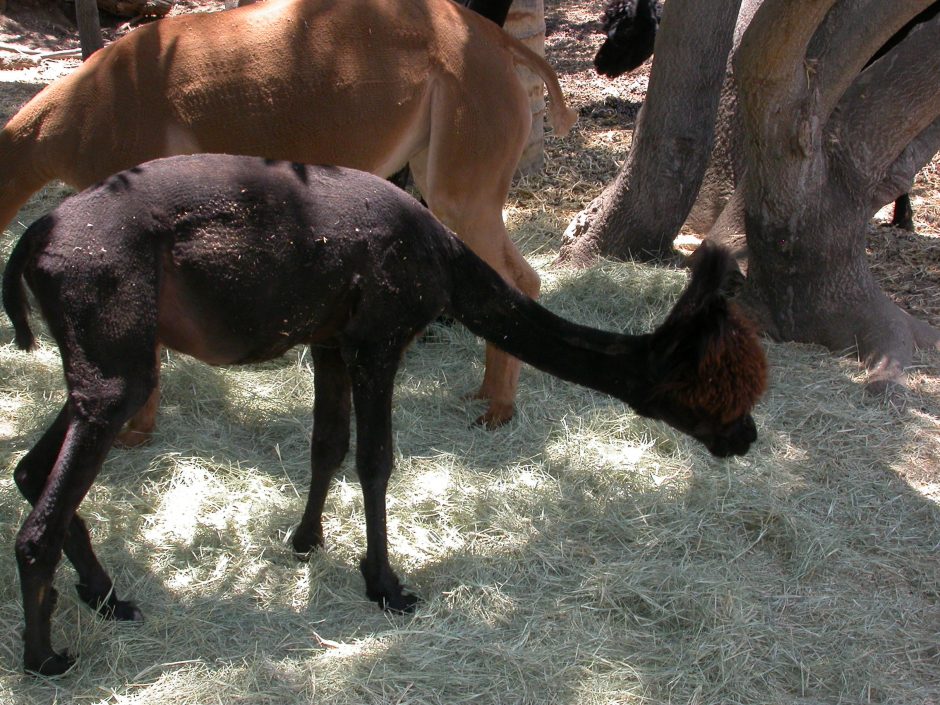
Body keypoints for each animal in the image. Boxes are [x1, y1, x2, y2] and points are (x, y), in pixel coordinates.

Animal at [0, 0, 577, 439]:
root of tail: (494, 38)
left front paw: (135, 431)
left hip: (463, 160)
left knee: (519, 278)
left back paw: (499, 408)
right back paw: (485, 394)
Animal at [4, 155, 767, 676]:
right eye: (715, 390)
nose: (746, 436)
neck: (444, 261)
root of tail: (34, 238)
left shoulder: (331, 340)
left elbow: (328, 443)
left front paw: (306, 540)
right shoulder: (379, 339)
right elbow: (376, 459)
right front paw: (386, 584)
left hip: (110, 360)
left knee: (30, 470)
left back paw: (106, 596)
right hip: (115, 351)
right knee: (38, 519)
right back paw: (47, 656)